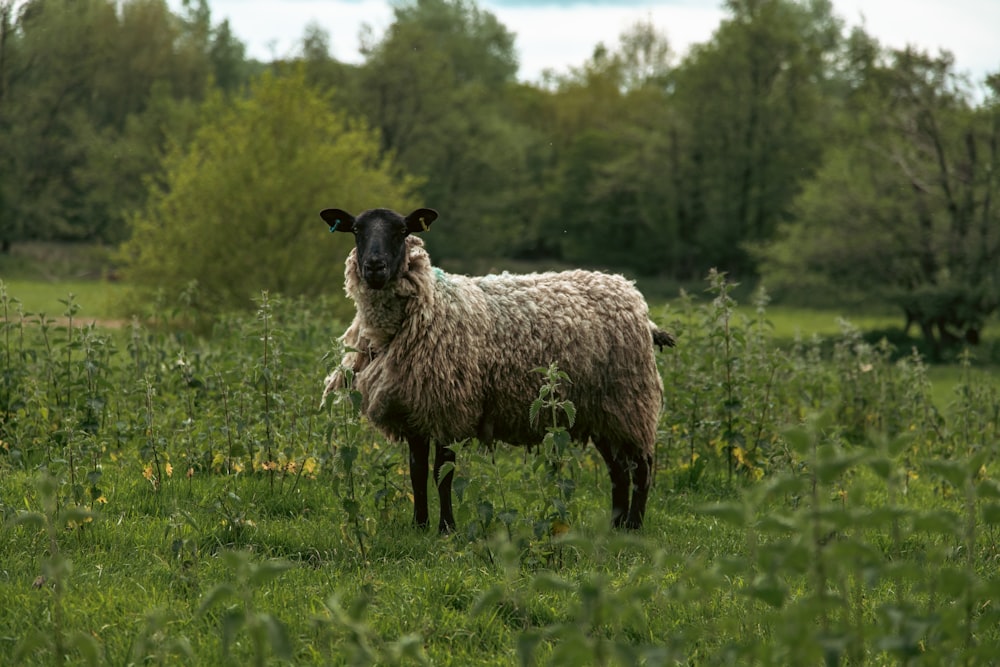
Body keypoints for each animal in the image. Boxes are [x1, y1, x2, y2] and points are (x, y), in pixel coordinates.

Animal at [320, 207, 676, 532]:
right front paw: (419, 526)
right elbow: (416, 473)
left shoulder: (448, 408)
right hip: (600, 410)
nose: (374, 266)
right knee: (618, 470)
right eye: (356, 230)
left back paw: (634, 526)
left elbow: (442, 474)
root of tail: (632, 294)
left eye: (402, 230)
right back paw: (616, 526)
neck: (429, 305)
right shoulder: (413, 411)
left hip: (629, 400)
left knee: (641, 467)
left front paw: (446, 529)